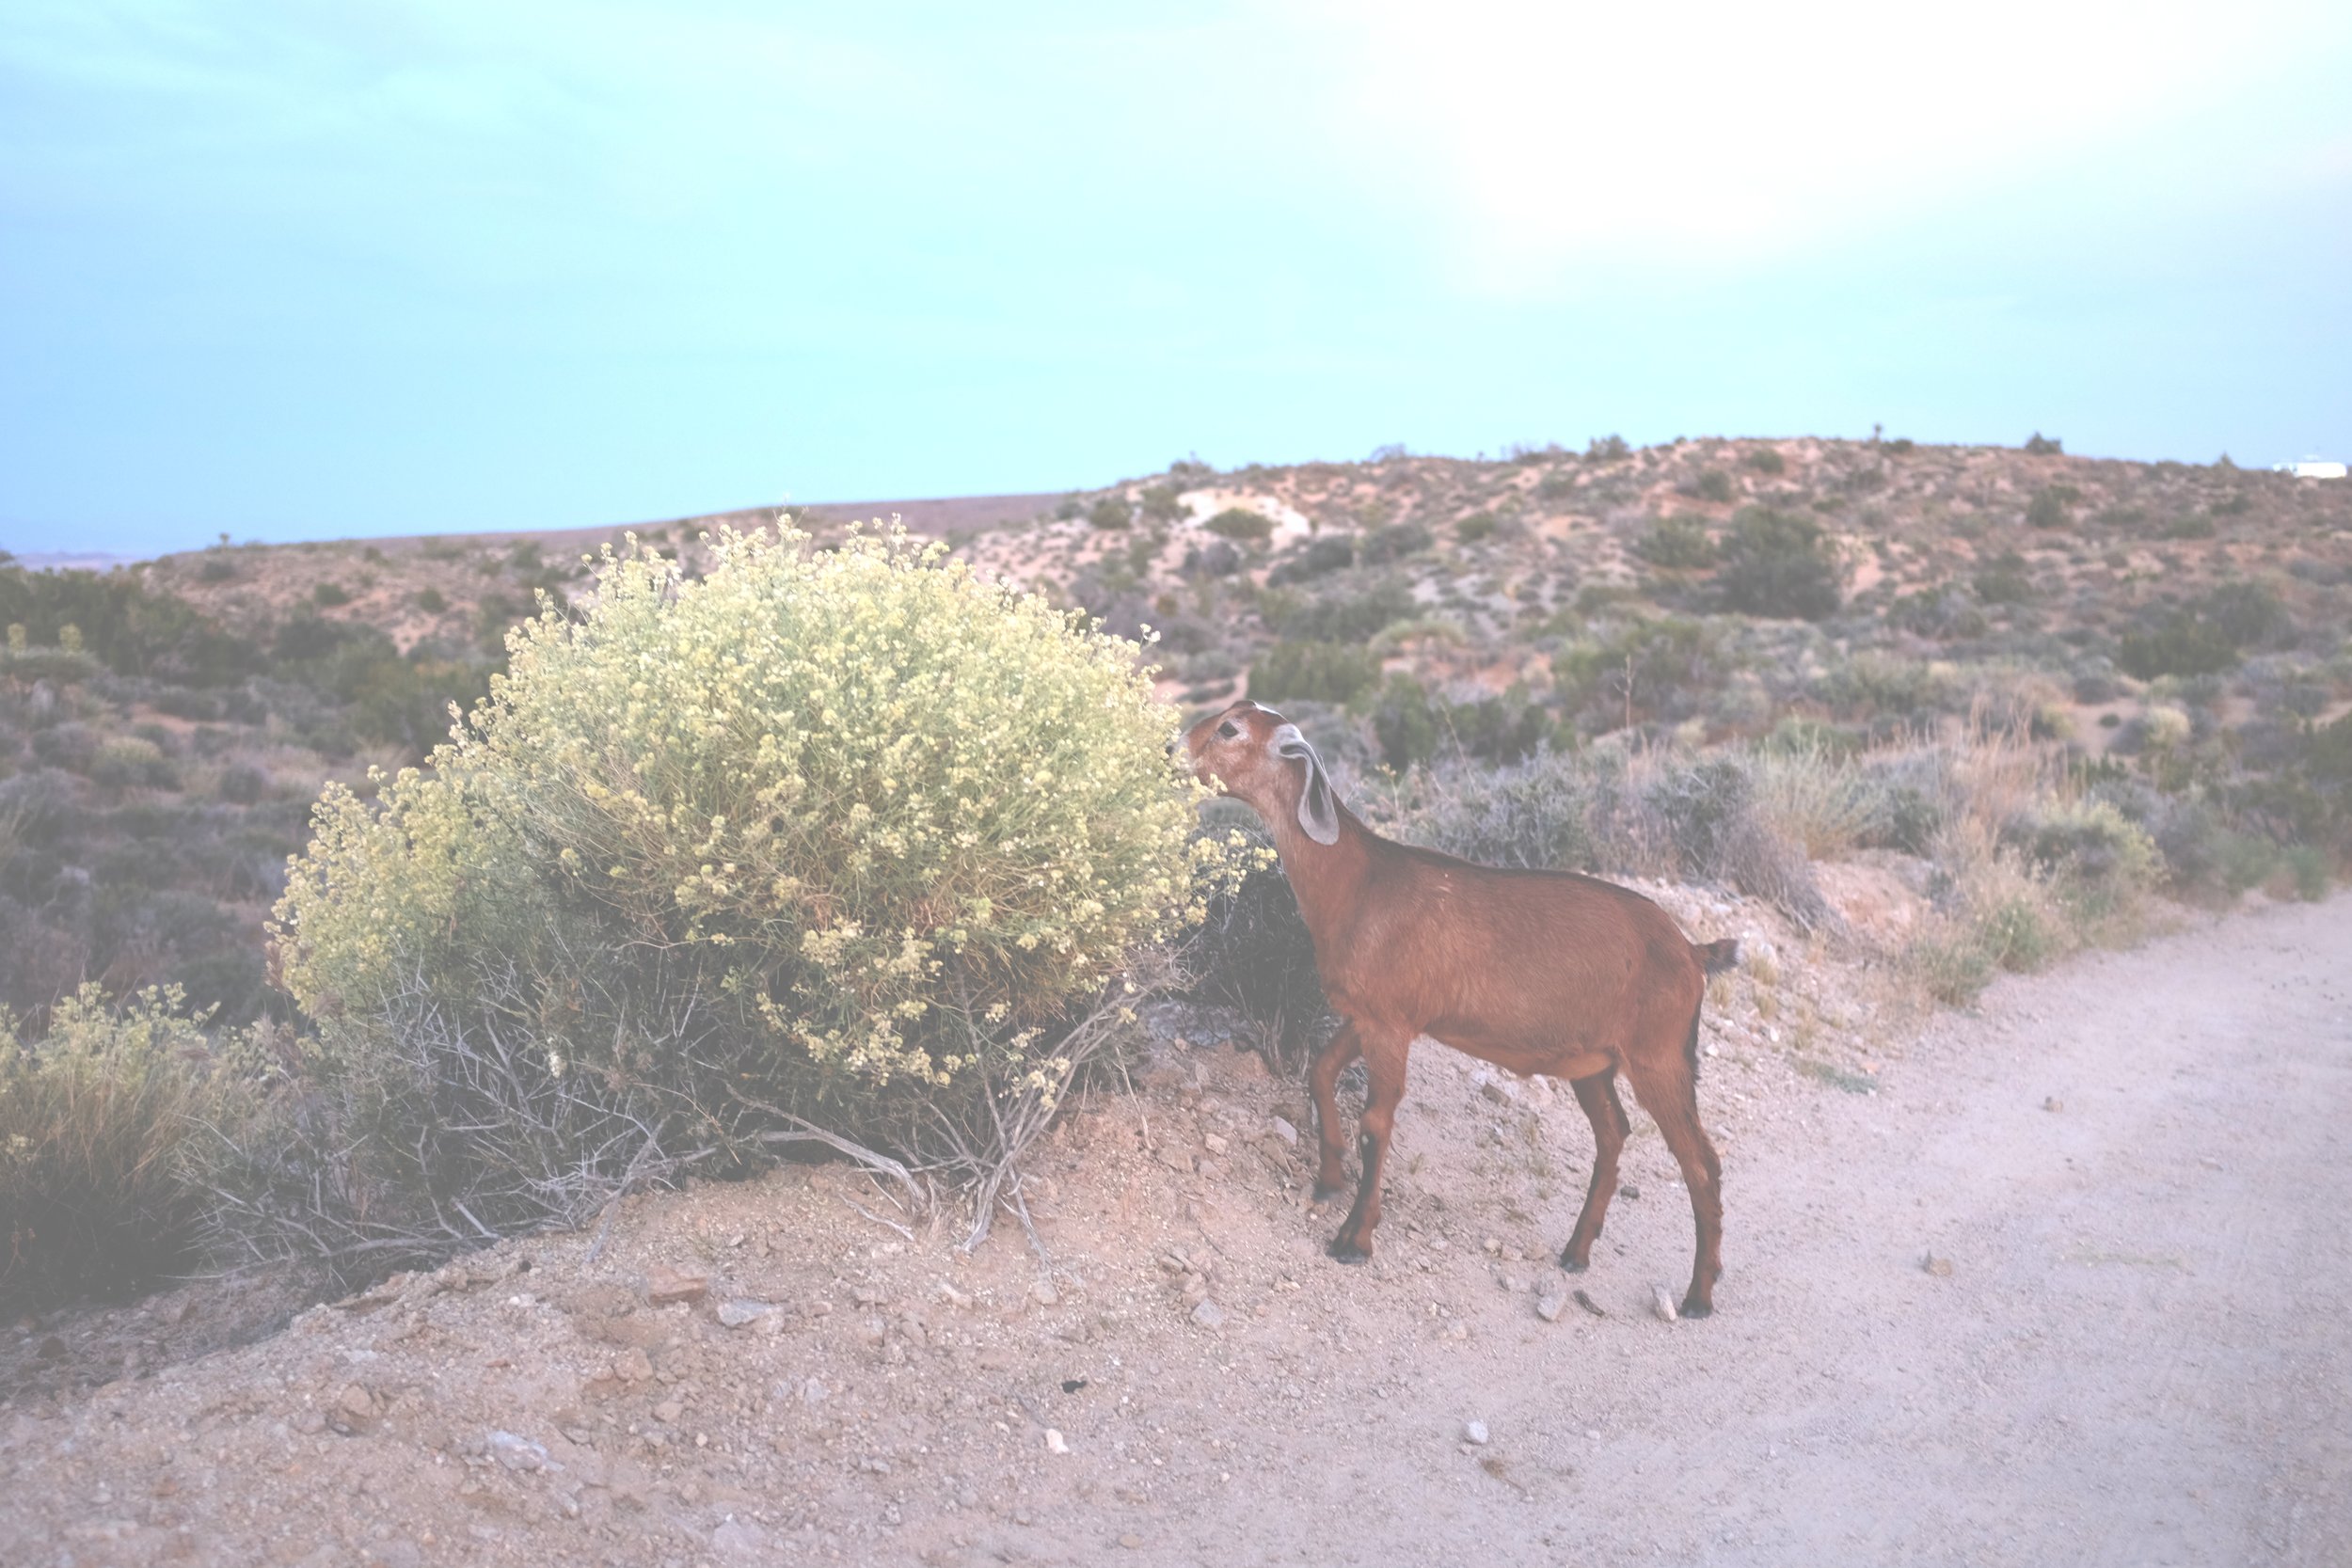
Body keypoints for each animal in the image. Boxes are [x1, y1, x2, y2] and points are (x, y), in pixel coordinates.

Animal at [1185, 700, 1740, 1316]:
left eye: (1230, 729)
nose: (1172, 748)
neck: (1358, 885)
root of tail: (1692, 951)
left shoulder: (1390, 1023)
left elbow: (1376, 1123)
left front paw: (1354, 1238)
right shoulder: (1368, 1015)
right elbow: (1321, 1071)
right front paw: (1328, 1179)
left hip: (1659, 1056)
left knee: (1701, 1163)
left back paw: (1698, 1294)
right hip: (1593, 1063)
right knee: (1614, 1133)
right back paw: (1576, 1252)